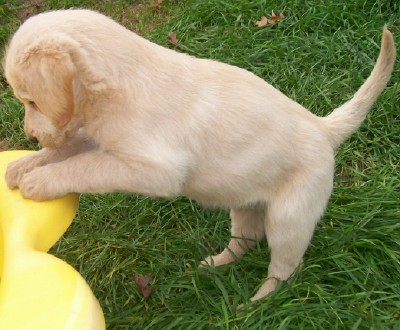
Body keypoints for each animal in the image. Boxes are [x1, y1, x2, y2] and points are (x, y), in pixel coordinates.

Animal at [2, 8, 396, 302]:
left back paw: (258, 302)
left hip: (290, 219)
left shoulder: (153, 168)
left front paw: (39, 180)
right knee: (246, 239)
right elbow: (69, 148)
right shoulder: (97, 137)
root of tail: (323, 128)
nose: (30, 135)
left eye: (31, 100)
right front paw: (23, 166)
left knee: (286, 266)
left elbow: (84, 166)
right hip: (246, 203)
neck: (121, 85)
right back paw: (216, 264)